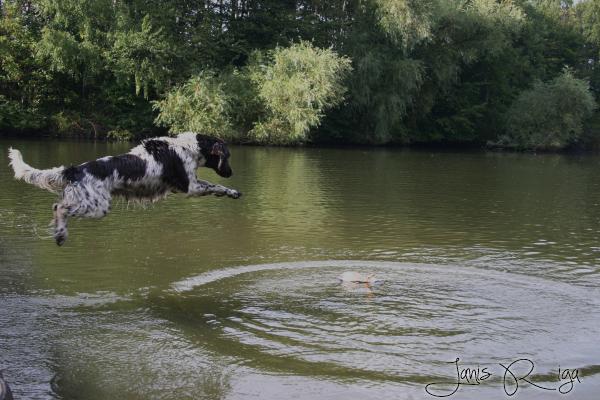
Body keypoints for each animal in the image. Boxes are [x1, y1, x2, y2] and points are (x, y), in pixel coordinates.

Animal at [8, 132, 241, 246]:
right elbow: (216, 186)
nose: (231, 172)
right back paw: (61, 234)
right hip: (97, 207)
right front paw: (233, 191)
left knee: (58, 206)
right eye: (228, 156)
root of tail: (75, 170)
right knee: (59, 208)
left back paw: (59, 234)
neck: (188, 146)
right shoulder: (190, 186)